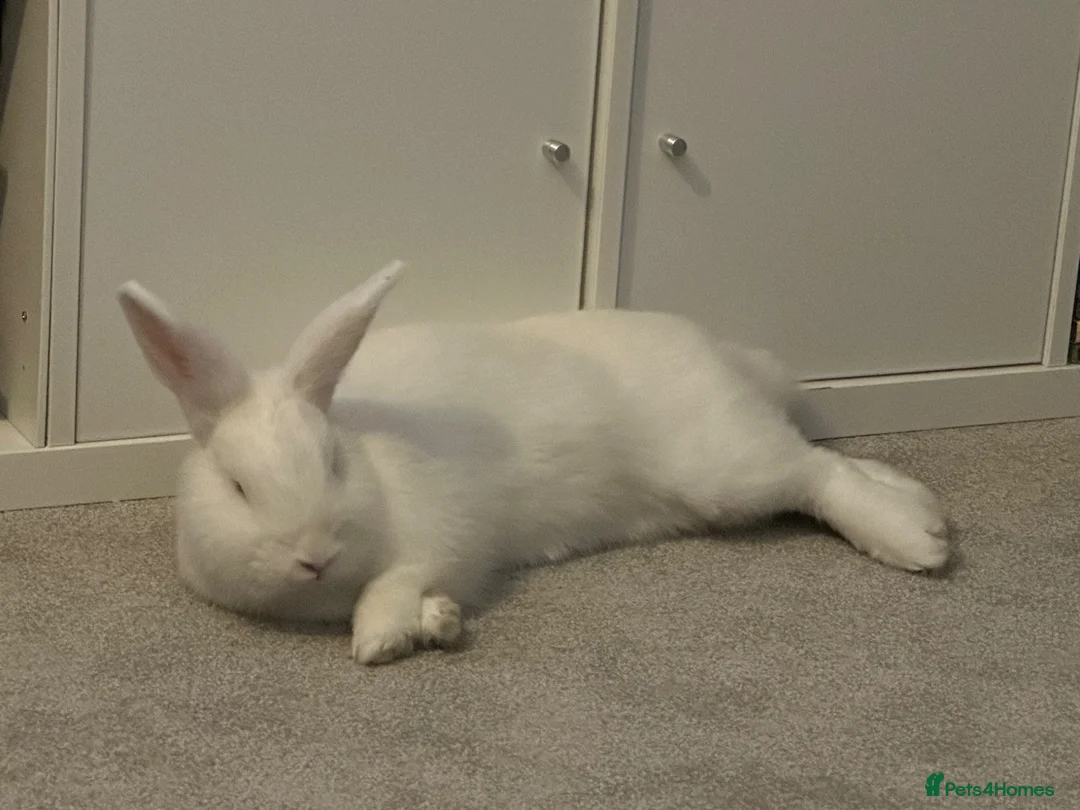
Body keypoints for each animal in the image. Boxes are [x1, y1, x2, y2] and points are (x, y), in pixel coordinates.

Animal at [117, 260, 949, 665]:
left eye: (332, 465)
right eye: (238, 487)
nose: (314, 555)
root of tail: (718, 353)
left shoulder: (444, 531)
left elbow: (398, 580)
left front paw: (383, 639)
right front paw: (438, 625)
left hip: (723, 465)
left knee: (816, 474)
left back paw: (918, 543)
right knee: (824, 464)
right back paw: (928, 511)